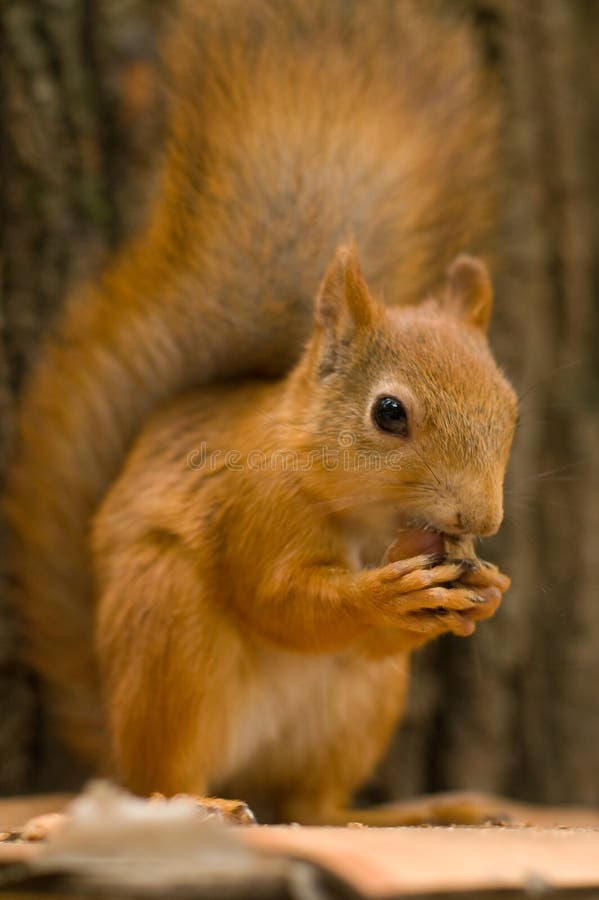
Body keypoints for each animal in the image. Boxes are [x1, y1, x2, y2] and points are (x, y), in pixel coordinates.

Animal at [5, 1, 519, 825]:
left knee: (315, 803)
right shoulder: (253, 507)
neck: (357, 509)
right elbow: (281, 603)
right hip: (167, 633)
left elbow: (364, 639)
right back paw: (201, 803)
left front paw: (488, 591)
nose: (481, 520)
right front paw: (380, 593)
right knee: (164, 776)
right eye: (389, 413)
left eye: (510, 407)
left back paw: (418, 813)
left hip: (359, 706)